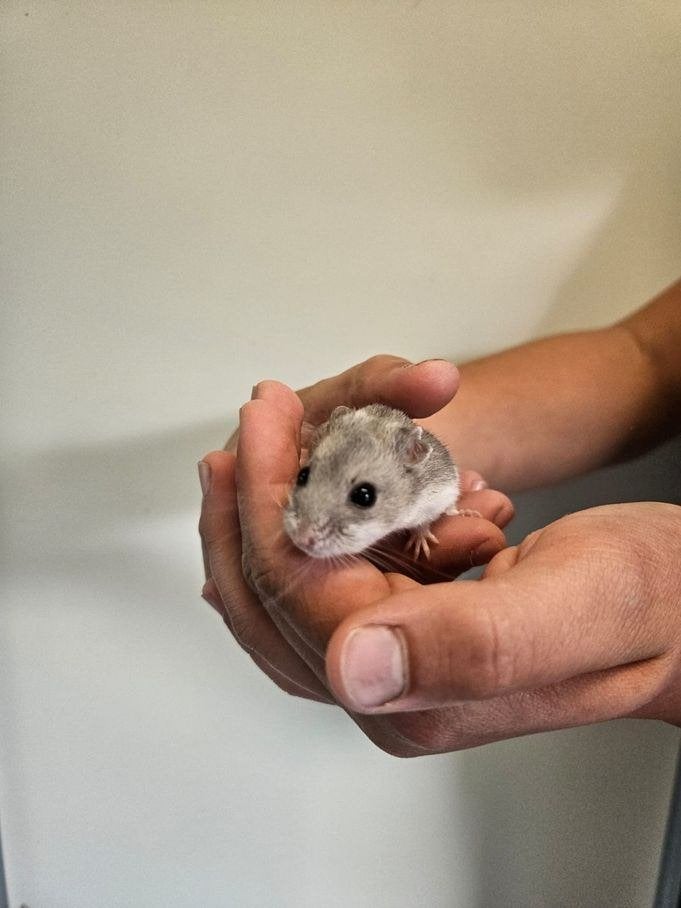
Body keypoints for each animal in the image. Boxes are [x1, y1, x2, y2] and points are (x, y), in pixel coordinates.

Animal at [283, 404, 466, 560]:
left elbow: (424, 523)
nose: (300, 539)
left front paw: (420, 546)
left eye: (364, 496)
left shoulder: (437, 496)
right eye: (302, 475)